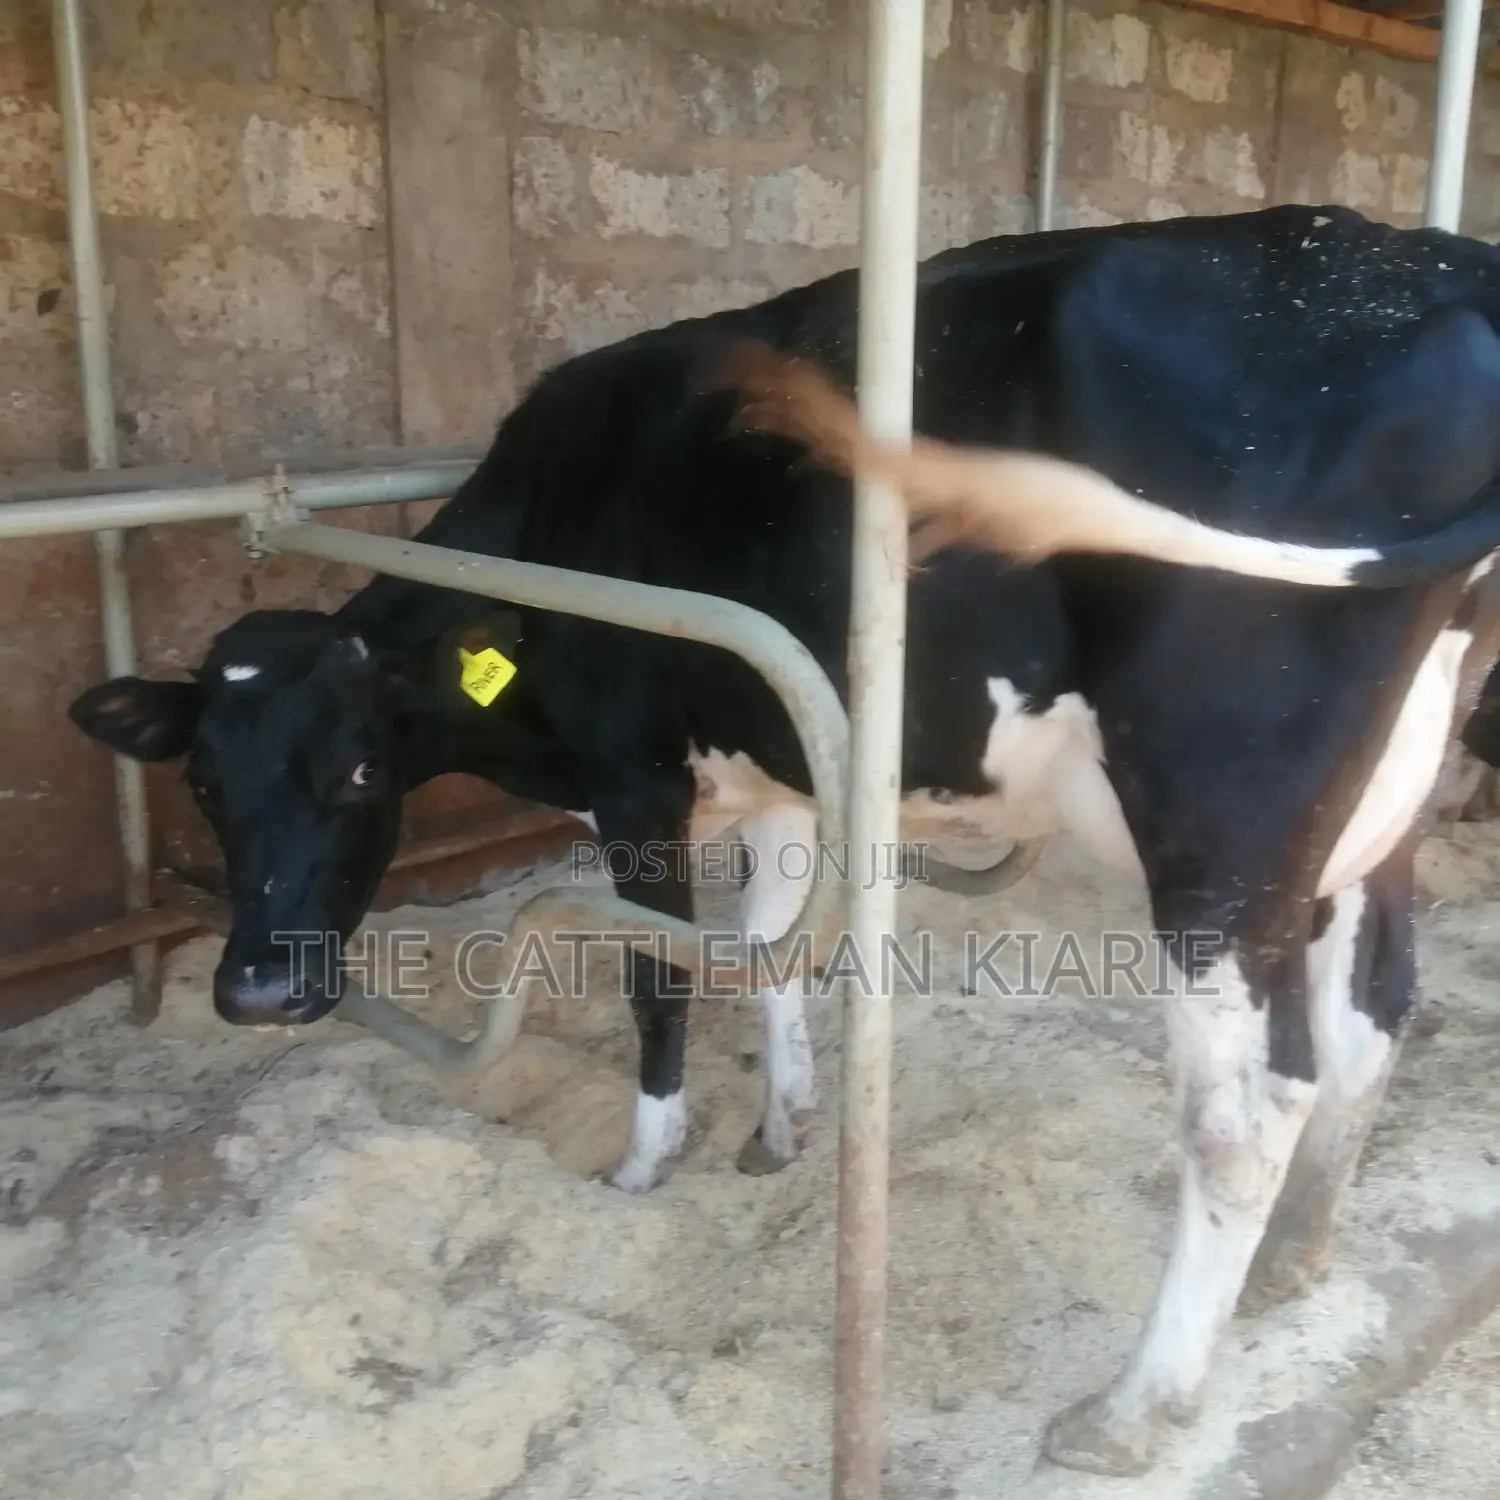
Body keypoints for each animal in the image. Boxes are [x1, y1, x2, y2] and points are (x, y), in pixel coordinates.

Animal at [66, 202, 1500, 1477]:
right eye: (204, 784)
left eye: (361, 770)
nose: (257, 988)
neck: (558, 524)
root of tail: (1441, 273)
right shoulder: (787, 767)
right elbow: (773, 949)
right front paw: (783, 1120)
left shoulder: (635, 779)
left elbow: (662, 973)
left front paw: (646, 1162)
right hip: (1371, 817)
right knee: (1370, 1015)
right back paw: (1298, 1258)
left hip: (1221, 824)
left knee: (1239, 1120)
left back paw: (1133, 1407)